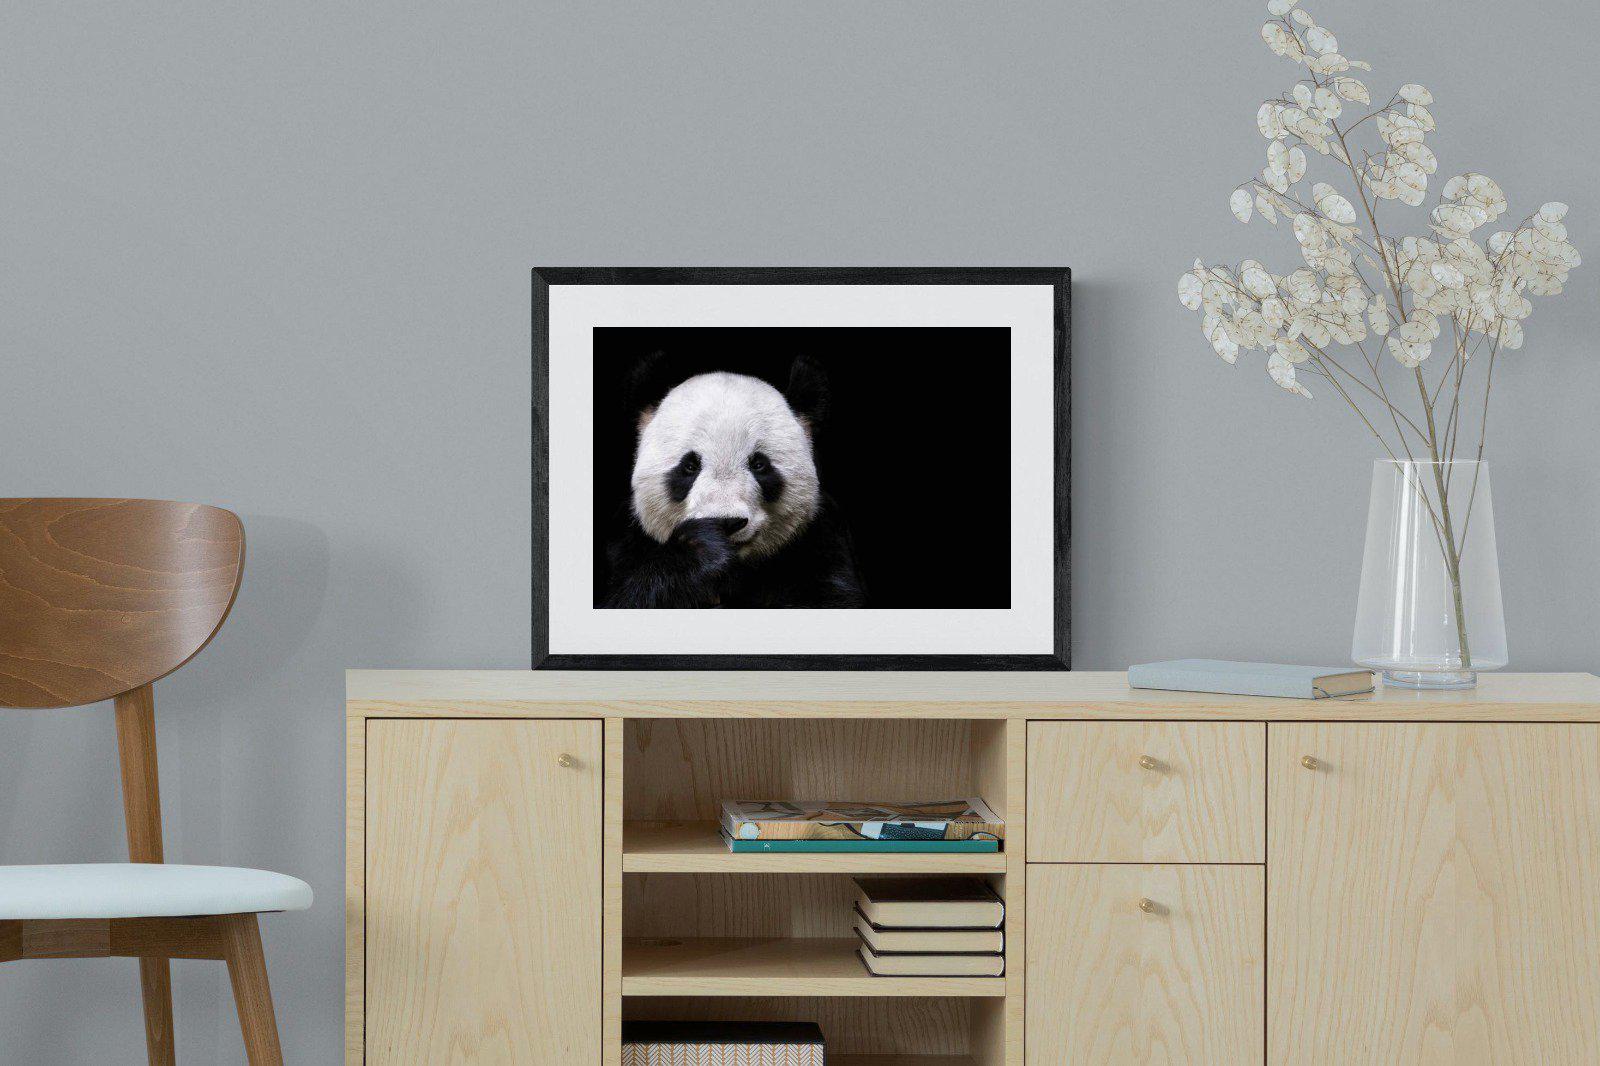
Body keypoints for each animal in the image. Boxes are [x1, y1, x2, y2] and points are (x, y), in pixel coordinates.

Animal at [600, 354, 868, 609]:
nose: (727, 522)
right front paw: (702, 548)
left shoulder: (821, 541)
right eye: (690, 466)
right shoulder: (626, 545)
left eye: (759, 464)